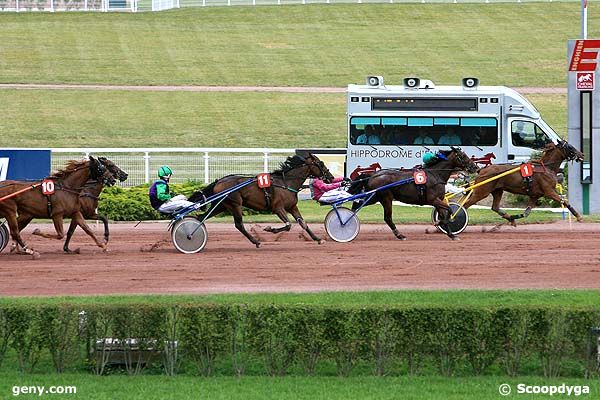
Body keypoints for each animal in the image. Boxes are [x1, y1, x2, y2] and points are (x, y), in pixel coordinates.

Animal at [190, 153, 336, 247]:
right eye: (321, 164)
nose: (331, 177)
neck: (286, 183)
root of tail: (219, 181)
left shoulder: (292, 207)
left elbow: (303, 224)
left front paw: (318, 239)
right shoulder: (278, 208)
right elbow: (288, 225)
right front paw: (269, 229)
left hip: (222, 205)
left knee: (201, 217)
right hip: (235, 204)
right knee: (239, 225)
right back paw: (256, 241)